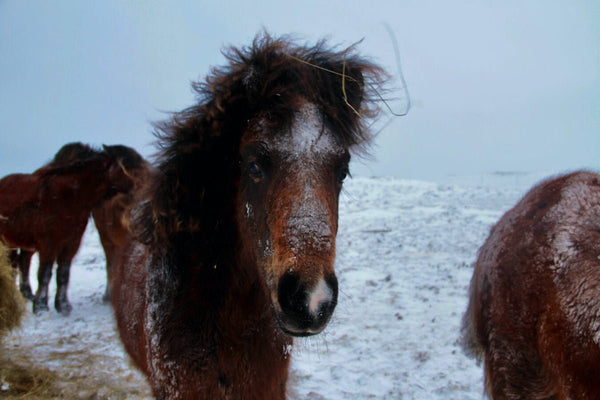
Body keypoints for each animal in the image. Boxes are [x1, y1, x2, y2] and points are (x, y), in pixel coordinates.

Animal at [0, 144, 135, 316]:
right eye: (119, 169)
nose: (133, 183)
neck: (64, 200)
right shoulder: (48, 245)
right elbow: (44, 275)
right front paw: (41, 306)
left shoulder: (71, 244)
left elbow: (63, 275)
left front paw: (63, 305)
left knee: (22, 263)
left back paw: (26, 294)